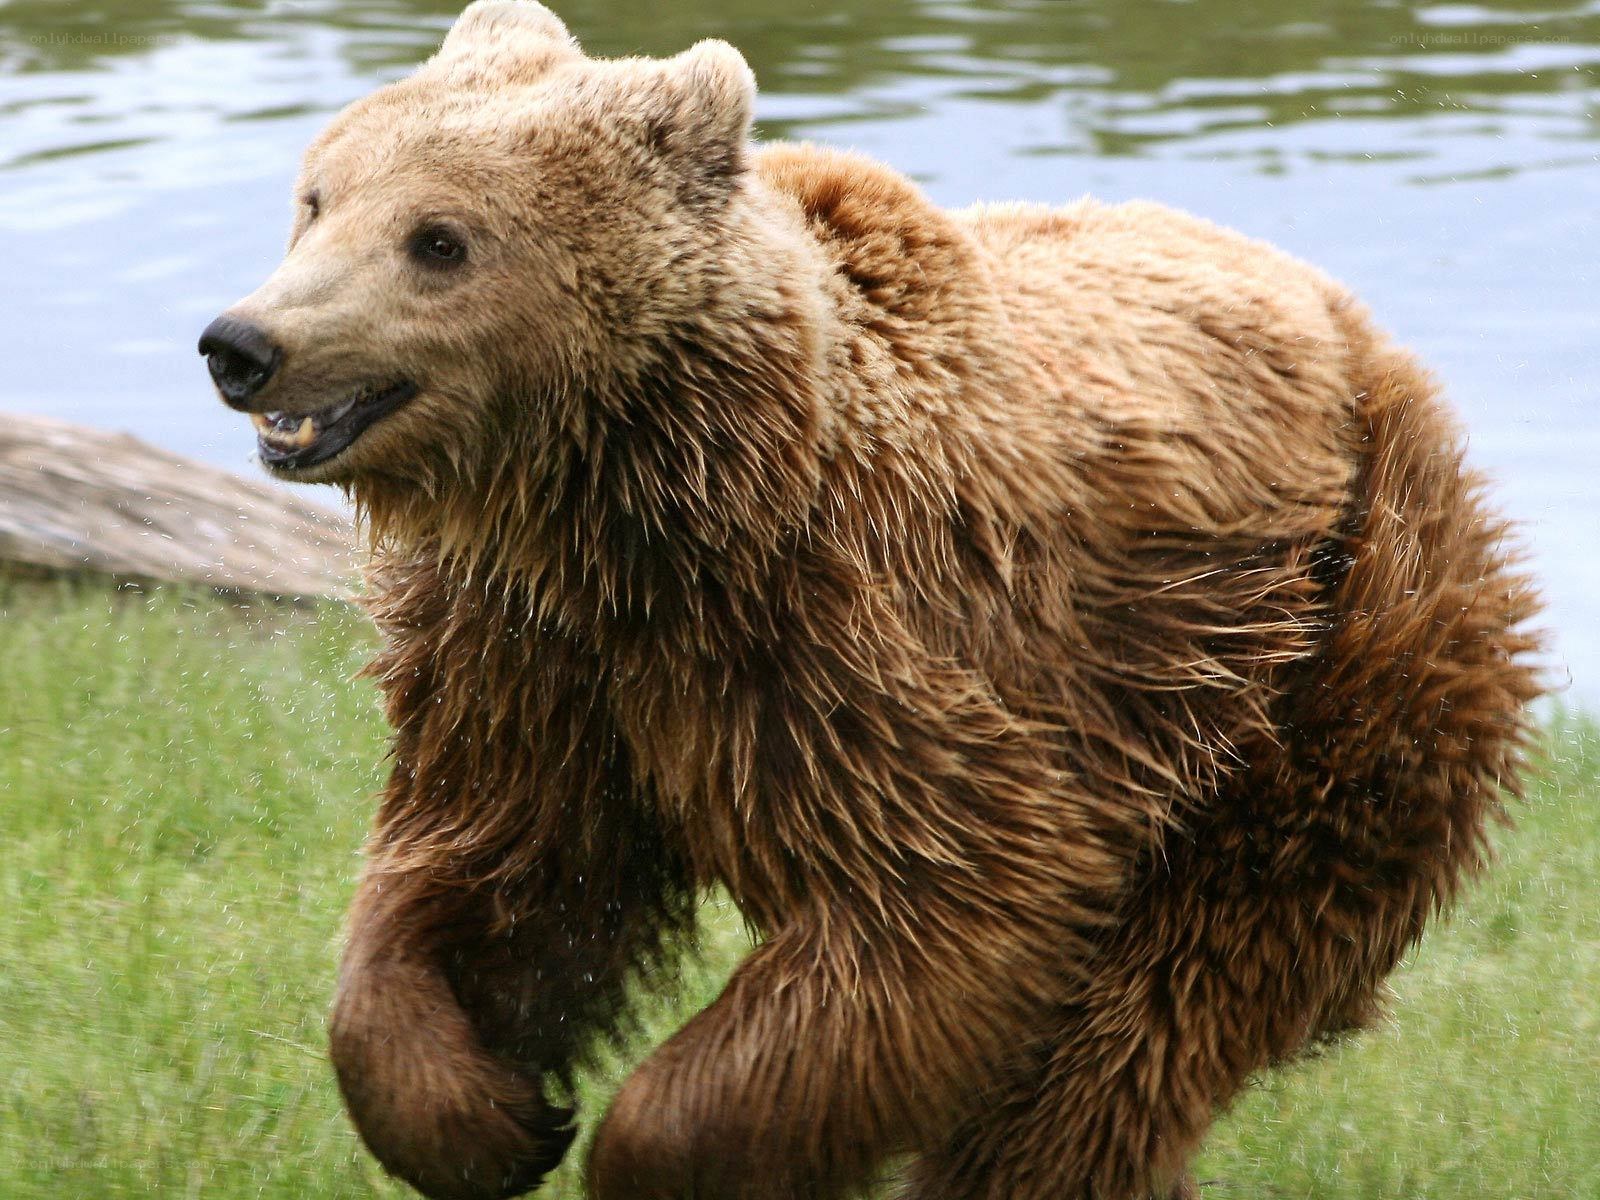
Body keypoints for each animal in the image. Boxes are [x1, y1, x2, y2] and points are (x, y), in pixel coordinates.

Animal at [199, 3, 1545, 1198]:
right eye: (319, 198)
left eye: (440, 238)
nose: (243, 343)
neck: (630, 503)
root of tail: (1363, 334)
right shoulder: (529, 659)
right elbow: (495, 872)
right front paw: (490, 1115)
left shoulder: (862, 639)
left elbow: (942, 909)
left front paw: (639, 1152)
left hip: (1318, 660)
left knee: (1151, 1015)